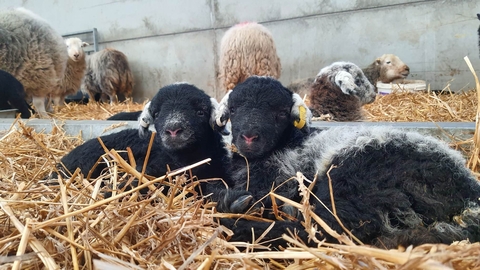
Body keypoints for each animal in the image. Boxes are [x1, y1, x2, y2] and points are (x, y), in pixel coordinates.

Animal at [217, 75, 480, 249]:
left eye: (281, 113)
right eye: (233, 109)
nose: (249, 137)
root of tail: (468, 192)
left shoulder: (278, 178)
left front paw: (236, 205)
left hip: (357, 176)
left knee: (333, 229)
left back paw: (241, 226)